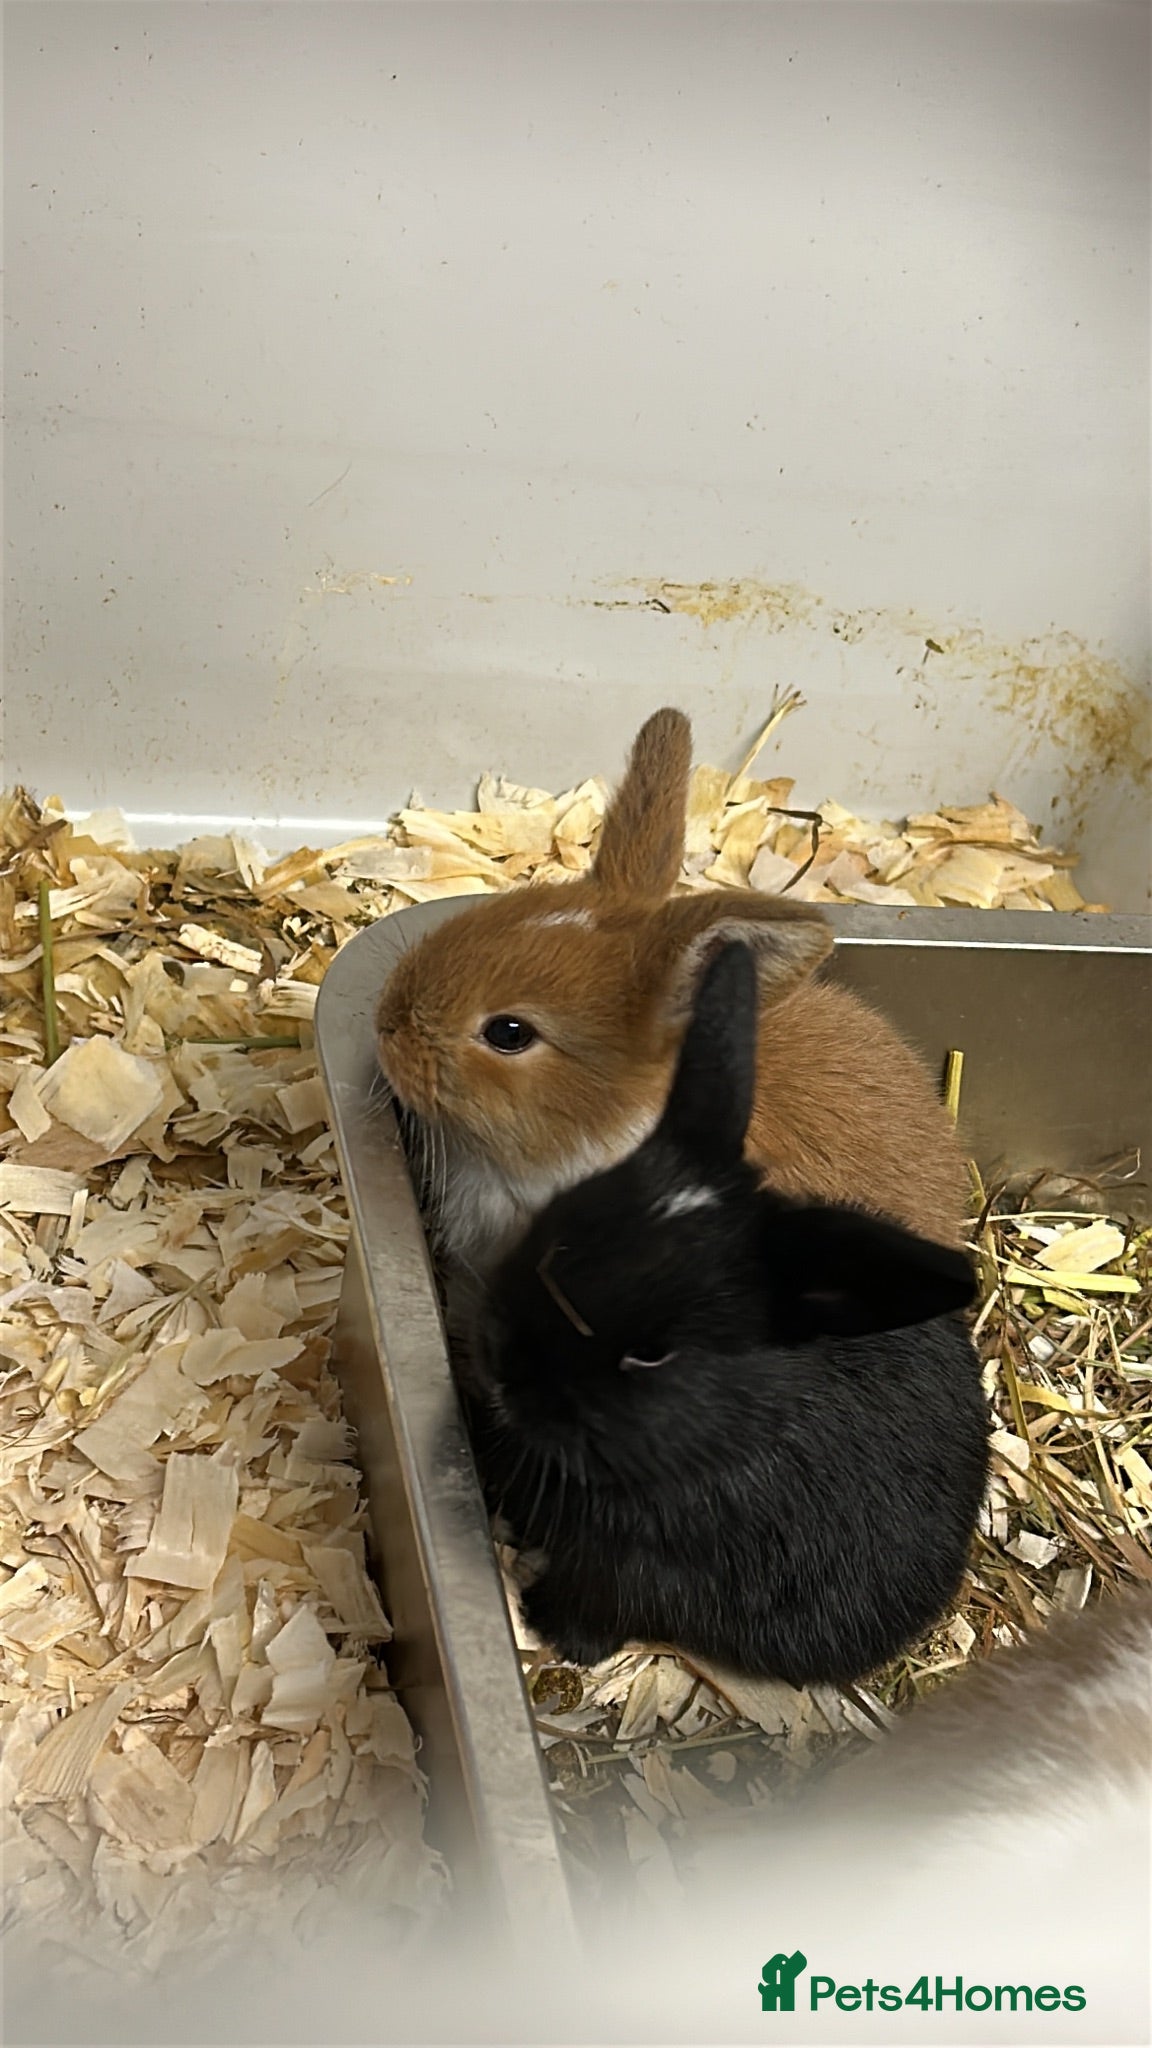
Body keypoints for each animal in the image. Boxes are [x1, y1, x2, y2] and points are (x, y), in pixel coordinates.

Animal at [464, 941, 989, 1685]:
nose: (502, 1364)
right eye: (564, 1227)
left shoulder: (641, 1570)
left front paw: (550, 1627)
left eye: (653, 1353)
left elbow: (604, 1605)